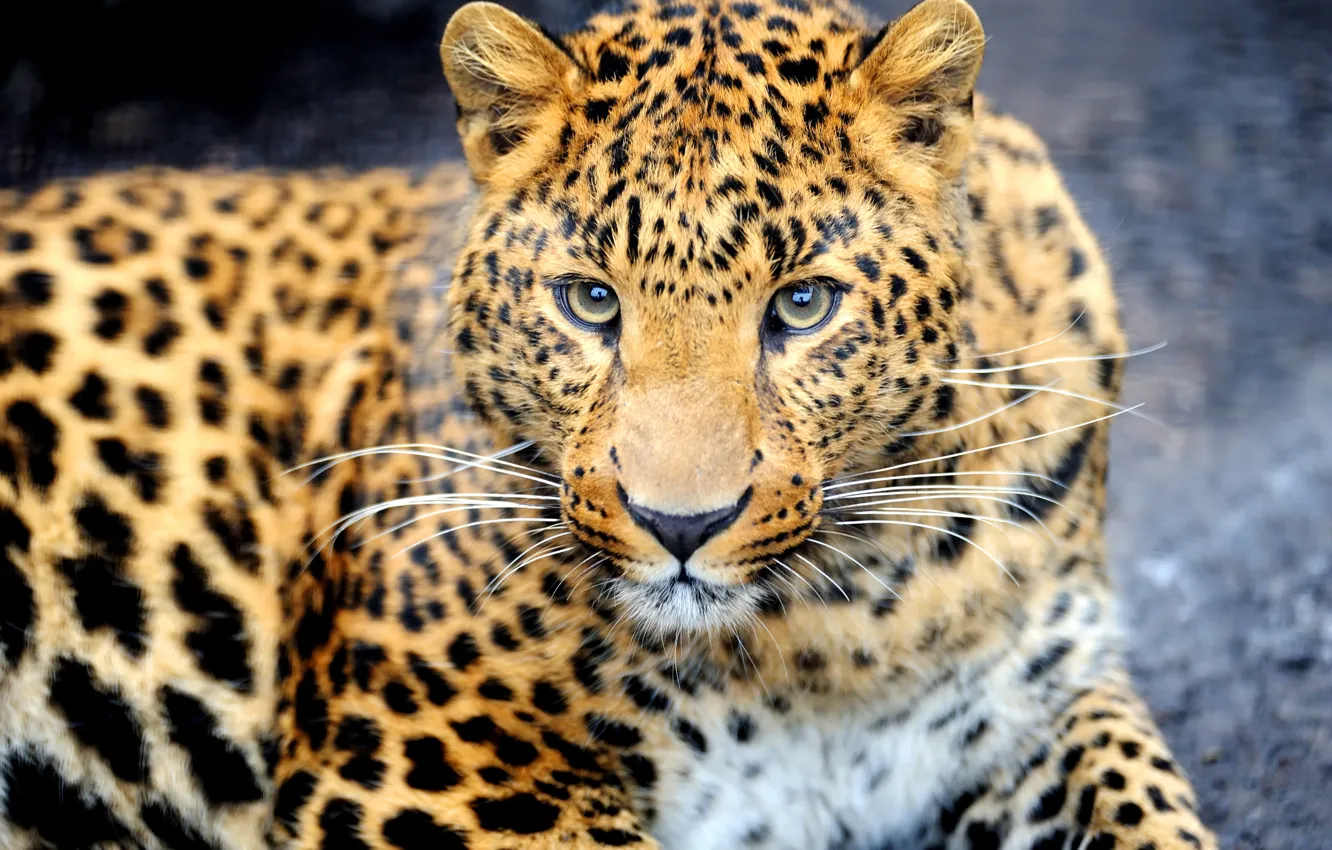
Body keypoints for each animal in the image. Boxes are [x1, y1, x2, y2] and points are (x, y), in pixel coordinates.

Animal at [0, 0, 1221, 848]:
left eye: (802, 305)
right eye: (591, 301)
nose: (680, 525)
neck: (832, 633)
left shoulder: (1036, 701)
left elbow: (1149, 809)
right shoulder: (426, 763)